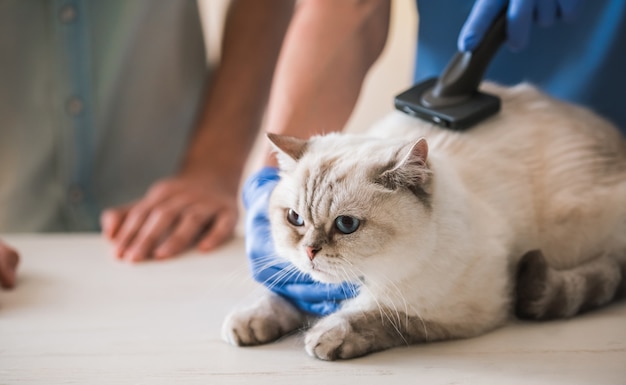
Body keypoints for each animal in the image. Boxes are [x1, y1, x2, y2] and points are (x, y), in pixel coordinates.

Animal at [222, 82, 620, 358]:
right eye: (295, 219)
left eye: (346, 225)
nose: (308, 252)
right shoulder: (304, 282)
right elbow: (280, 295)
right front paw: (249, 322)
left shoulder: (463, 308)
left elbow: (381, 314)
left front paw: (328, 334)